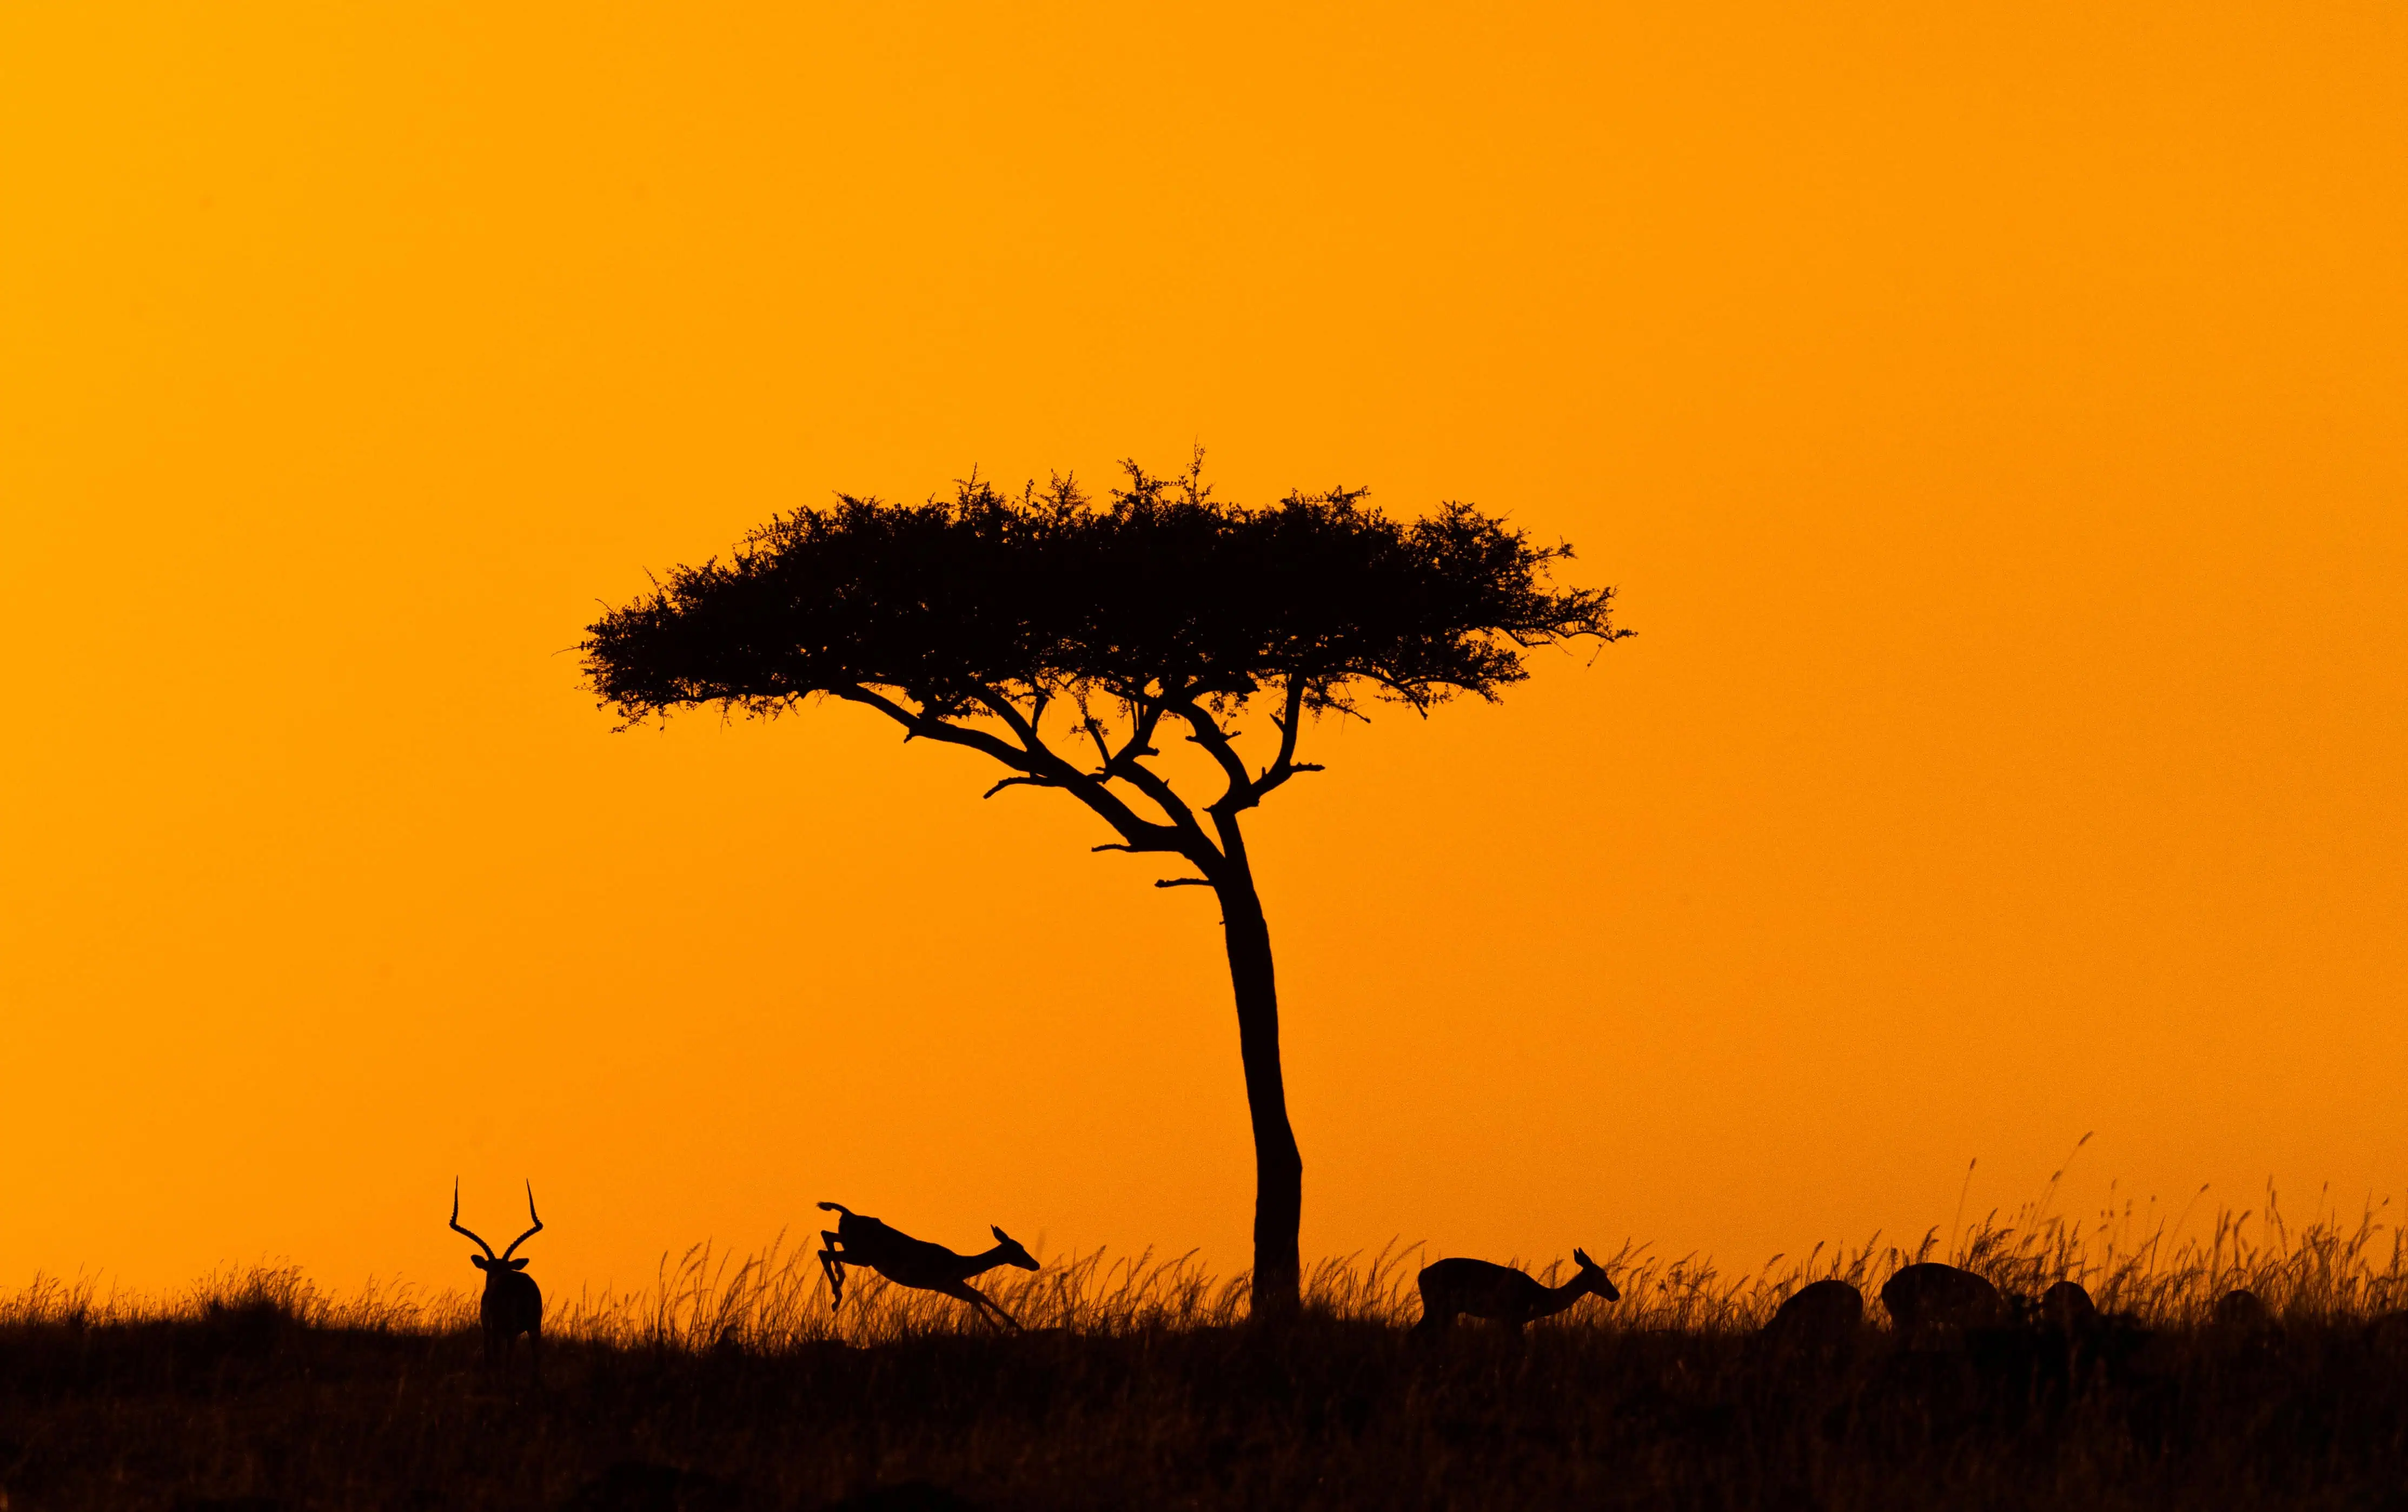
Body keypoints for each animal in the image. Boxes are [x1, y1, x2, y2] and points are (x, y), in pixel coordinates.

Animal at [449, 1178, 545, 1380]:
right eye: (491, 1268)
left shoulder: (489, 1329)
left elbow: (491, 1359)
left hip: (506, 1329)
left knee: (505, 1360)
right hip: (533, 1327)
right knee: (535, 1360)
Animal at [816, 1201, 1039, 1330]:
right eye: (1018, 1248)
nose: (1035, 1264)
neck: (960, 1263)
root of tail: (847, 1214)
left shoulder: (947, 1285)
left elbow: (979, 1297)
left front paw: (1011, 1326)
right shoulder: (945, 1283)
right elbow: (976, 1297)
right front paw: (1005, 1328)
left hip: (855, 1250)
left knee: (826, 1238)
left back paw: (838, 1290)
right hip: (862, 1255)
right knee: (825, 1251)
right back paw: (837, 1295)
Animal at [1412, 1250, 1620, 1335]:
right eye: (1601, 1274)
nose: (1616, 1294)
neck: (1541, 1296)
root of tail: (1421, 1274)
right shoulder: (1512, 1318)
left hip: (1445, 1310)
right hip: (1439, 1307)